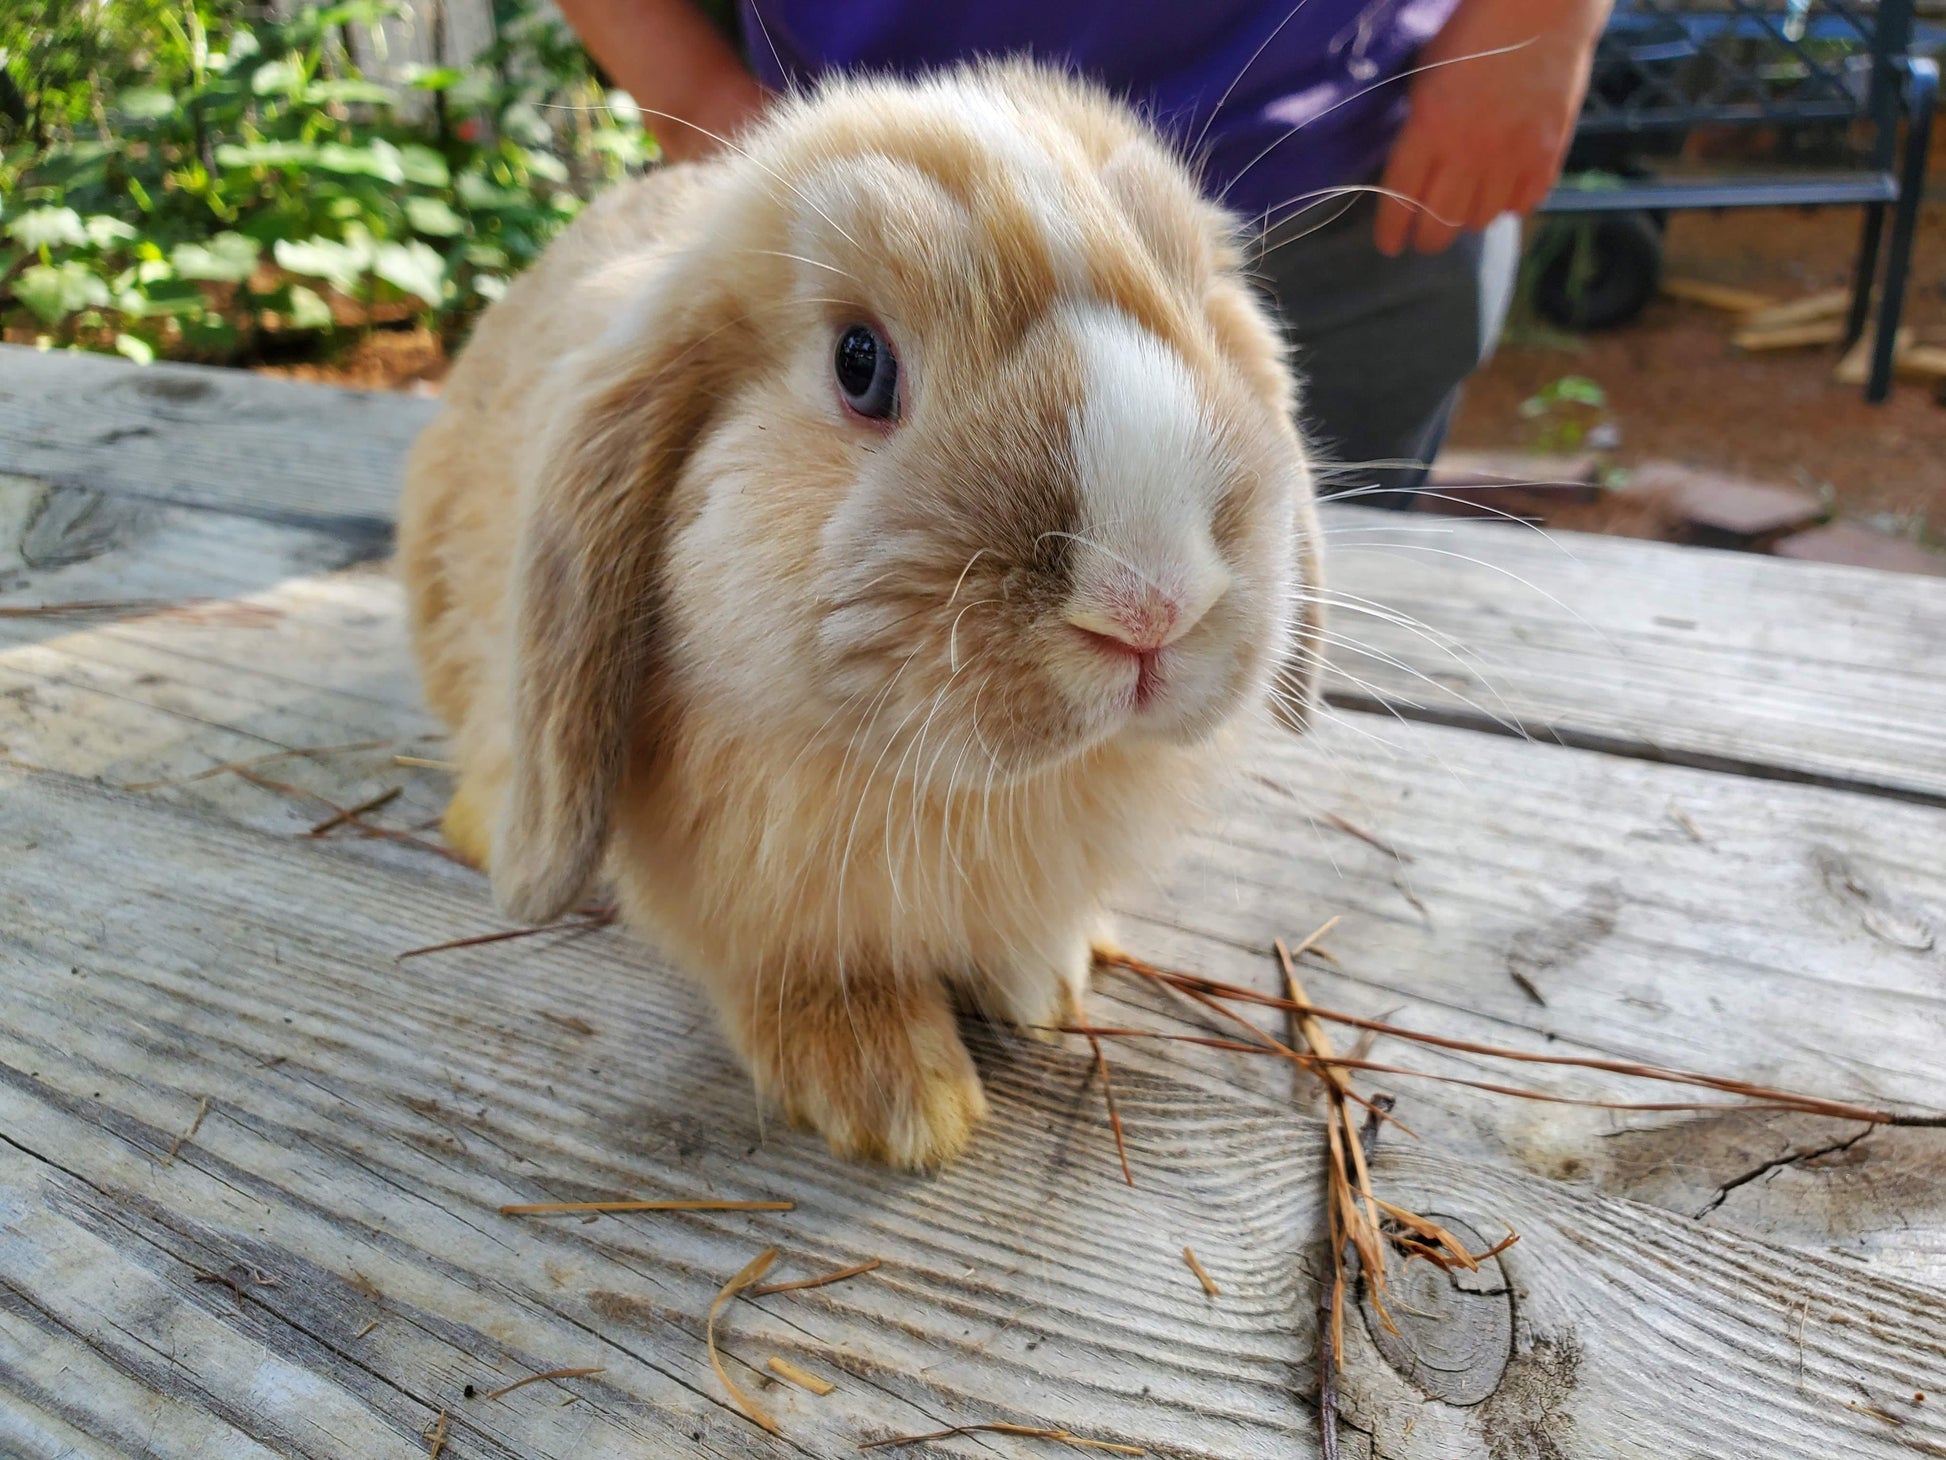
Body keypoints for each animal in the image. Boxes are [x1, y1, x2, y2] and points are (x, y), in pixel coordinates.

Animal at [398, 60, 1325, 1169]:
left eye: (1200, 321)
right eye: (858, 362)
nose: (1151, 606)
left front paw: (1046, 984)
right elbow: (802, 970)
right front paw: (896, 1100)